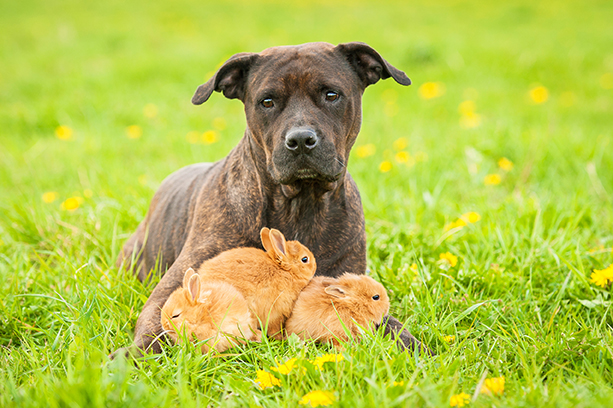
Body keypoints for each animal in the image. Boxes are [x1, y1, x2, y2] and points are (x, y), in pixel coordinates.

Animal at [117, 40, 428, 354]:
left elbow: (391, 325)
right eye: (267, 102)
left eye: (331, 95)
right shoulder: (171, 288)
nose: (300, 139)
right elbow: (154, 330)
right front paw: (133, 358)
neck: (300, 205)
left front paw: (417, 348)